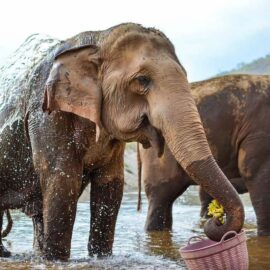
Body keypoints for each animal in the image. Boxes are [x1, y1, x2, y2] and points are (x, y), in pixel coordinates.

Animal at [0, 23, 245, 262]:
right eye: (143, 80)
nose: (216, 222)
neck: (98, 38)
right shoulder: (47, 116)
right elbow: (62, 181)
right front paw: (55, 261)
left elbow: (111, 185)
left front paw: (101, 258)